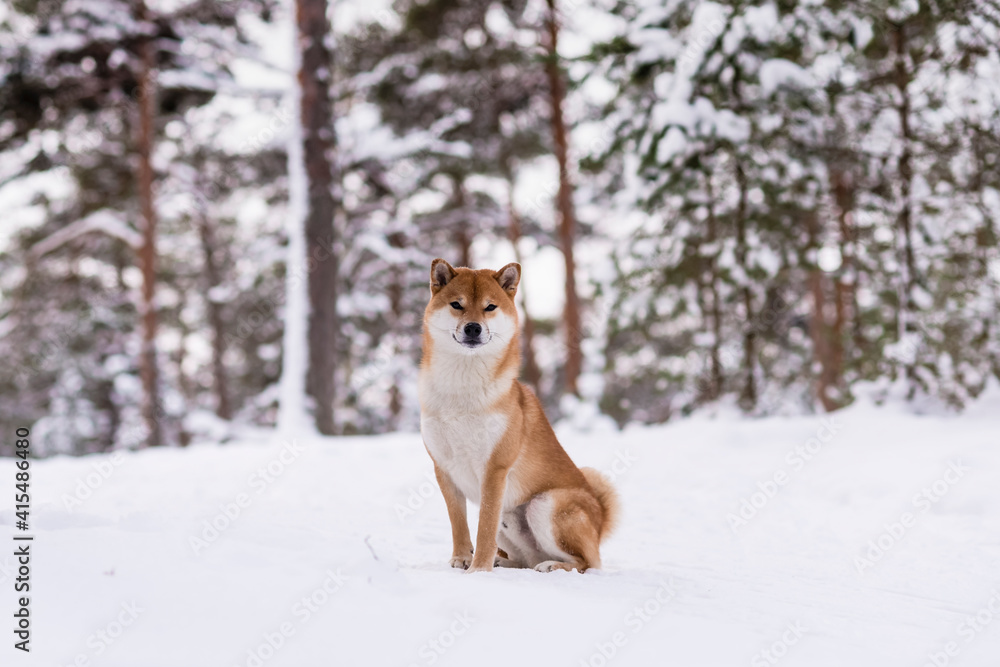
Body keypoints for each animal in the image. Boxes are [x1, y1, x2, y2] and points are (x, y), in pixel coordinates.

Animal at [420, 260, 616, 576]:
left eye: (490, 307)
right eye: (456, 304)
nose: (473, 328)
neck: (461, 391)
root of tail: (599, 524)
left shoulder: (495, 468)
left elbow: (483, 529)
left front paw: (479, 570)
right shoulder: (444, 468)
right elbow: (459, 524)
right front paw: (462, 558)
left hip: (544, 505)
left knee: (584, 563)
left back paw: (551, 565)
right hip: (512, 517)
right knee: (526, 560)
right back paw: (505, 562)